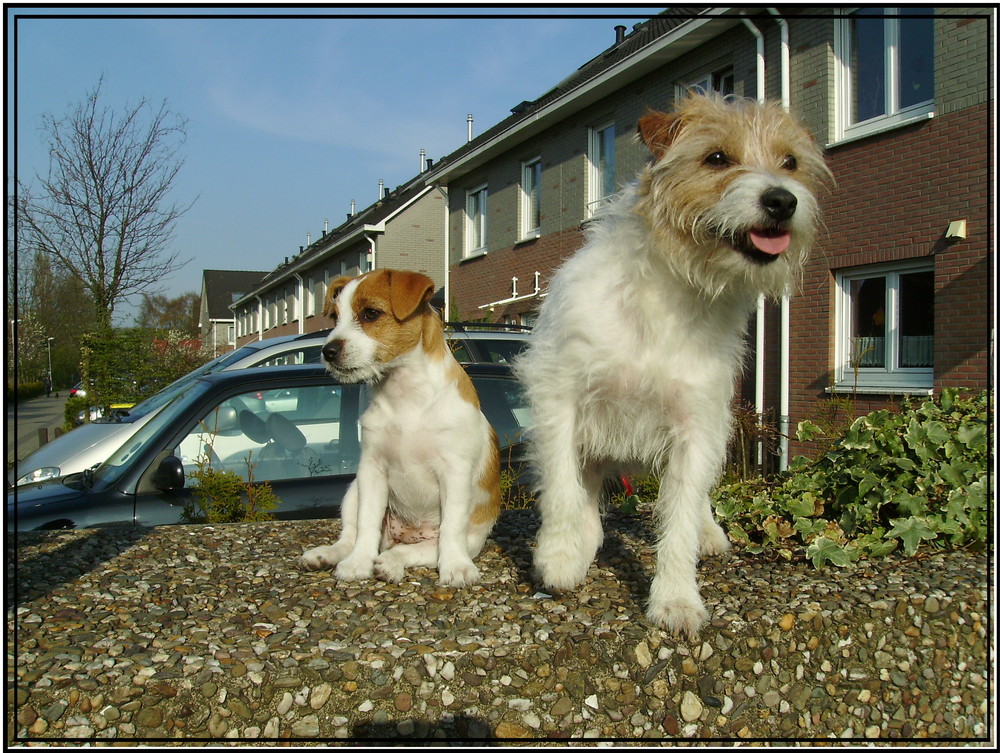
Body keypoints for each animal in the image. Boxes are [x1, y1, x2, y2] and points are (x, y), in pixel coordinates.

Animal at [296, 268, 500, 584]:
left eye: (371, 314)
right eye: (335, 318)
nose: (328, 351)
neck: (406, 398)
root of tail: (404, 535)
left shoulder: (454, 472)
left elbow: (452, 527)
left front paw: (456, 567)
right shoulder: (372, 470)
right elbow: (366, 524)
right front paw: (359, 563)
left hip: (466, 540)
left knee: (416, 551)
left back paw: (391, 563)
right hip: (354, 490)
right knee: (351, 534)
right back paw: (328, 555)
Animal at [516, 92, 828, 636]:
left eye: (790, 162)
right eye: (717, 158)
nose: (782, 200)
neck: (673, 292)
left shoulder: (695, 426)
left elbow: (679, 516)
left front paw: (676, 599)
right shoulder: (559, 397)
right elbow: (560, 488)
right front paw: (558, 555)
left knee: (694, 496)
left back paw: (708, 531)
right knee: (585, 491)